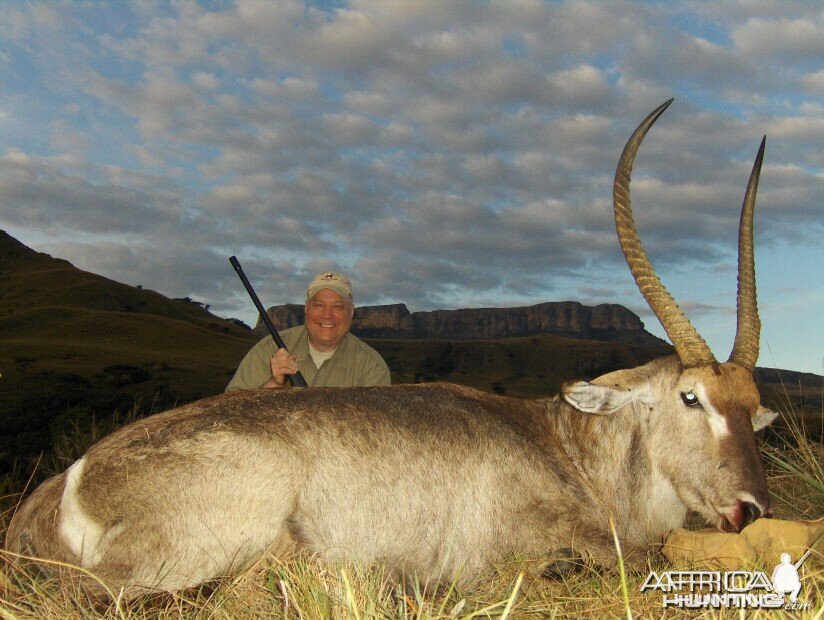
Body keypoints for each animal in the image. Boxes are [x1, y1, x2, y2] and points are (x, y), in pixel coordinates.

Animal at [4, 99, 780, 600]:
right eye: (690, 396)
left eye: (754, 409)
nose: (751, 509)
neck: (562, 444)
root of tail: (69, 484)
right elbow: (632, 556)